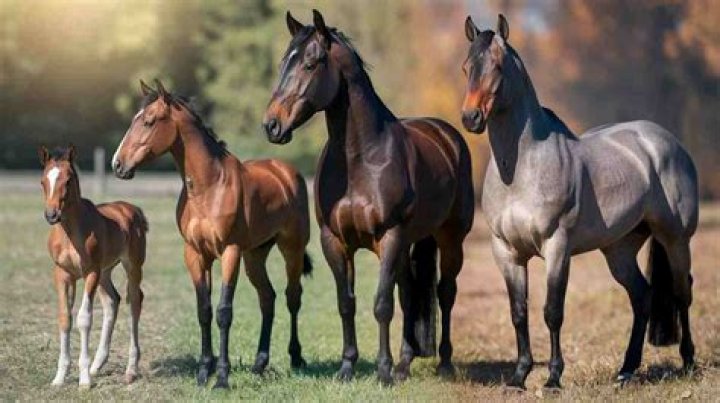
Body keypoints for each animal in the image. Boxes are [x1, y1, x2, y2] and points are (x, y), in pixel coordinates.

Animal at [39, 145, 147, 388]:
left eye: (68, 180)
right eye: (43, 181)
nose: (51, 215)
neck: (70, 233)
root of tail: (133, 209)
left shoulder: (90, 272)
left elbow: (84, 319)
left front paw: (84, 380)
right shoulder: (63, 274)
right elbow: (65, 318)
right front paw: (60, 378)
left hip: (130, 266)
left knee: (134, 301)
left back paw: (131, 369)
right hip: (105, 272)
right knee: (112, 301)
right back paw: (97, 365)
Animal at [111, 80, 313, 389]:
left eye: (148, 121)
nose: (118, 164)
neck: (209, 187)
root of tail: (286, 172)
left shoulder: (230, 252)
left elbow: (223, 312)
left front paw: (222, 378)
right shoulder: (196, 254)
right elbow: (204, 311)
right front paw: (203, 372)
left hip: (291, 248)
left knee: (293, 296)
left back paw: (296, 358)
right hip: (255, 255)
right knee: (267, 298)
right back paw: (259, 364)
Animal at [263, 10, 475, 385]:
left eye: (311, 63)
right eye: (283, 63)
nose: (272, 125)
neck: (361, 158)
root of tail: (447, 135)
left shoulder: (388, 237)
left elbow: (381, 304)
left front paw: (383, 371)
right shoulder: (334, 241)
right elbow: (347, 303)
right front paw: (348, 367)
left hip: (450, 239)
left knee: (445, 292)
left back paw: (443, 364)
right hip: (410, 243)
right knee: (410, 293)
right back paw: (405, 363)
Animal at [461, 15, 699, 390]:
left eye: (497, 66)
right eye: (466, 67)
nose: (470, 118)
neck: (521, 169)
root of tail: (666, 141)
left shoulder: (557, 247)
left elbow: (552, 312)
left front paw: (553, 378)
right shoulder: (506, 252)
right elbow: (518, 313)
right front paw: (519, 376)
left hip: (675, 239)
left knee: (681, 292)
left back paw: (688, 361)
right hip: (619, 250)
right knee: (642, 297)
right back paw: (626, 370)